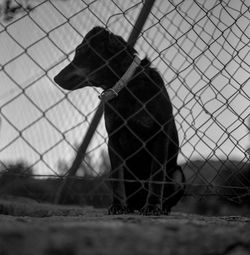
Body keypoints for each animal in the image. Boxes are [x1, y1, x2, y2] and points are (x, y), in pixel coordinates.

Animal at [53, 26, 185, 215]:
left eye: (81, 51)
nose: (55, 78)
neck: (127, 87)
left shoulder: (159, 134)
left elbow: (156, 176)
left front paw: (152, 207)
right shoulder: (114, 139)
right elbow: (117, 179)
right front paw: (117, 206)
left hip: (178, 174)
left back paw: (161, 208)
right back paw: (129, 207)